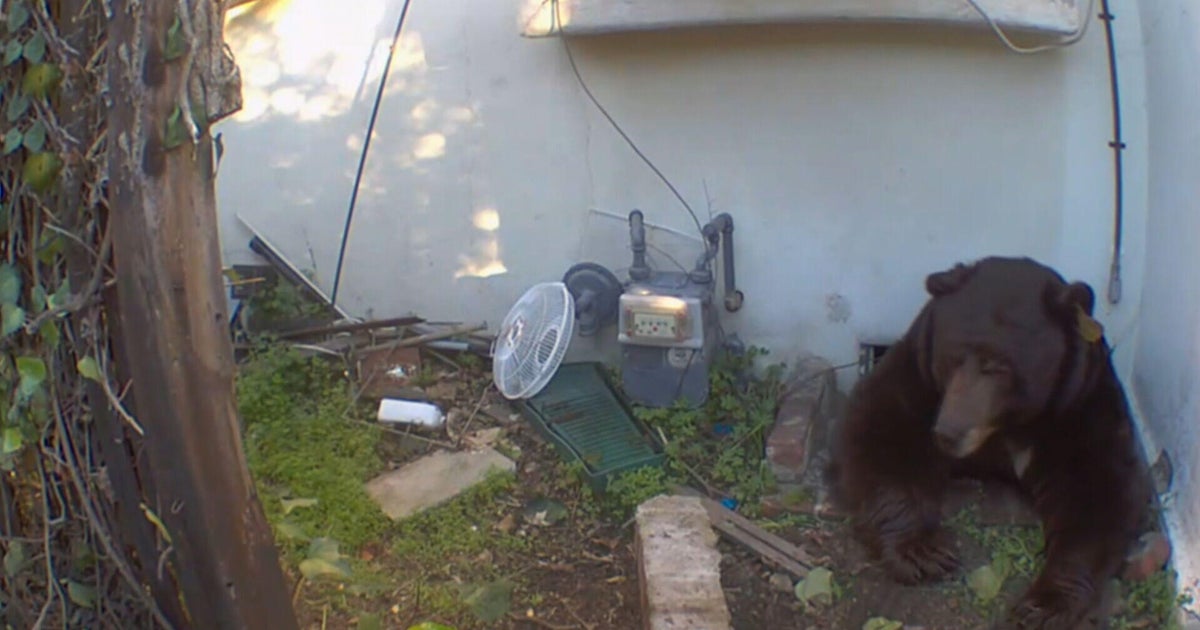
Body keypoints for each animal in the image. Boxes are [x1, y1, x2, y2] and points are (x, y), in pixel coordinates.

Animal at [827, 256, 1153, 629]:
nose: (949, 432)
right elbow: (880, 430)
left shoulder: (1078, 406)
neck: (1005, 426)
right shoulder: (919, 375)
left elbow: (1100, 487)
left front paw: (1045, 604)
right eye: (952, 357)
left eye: (999, 366)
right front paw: (924, 552)